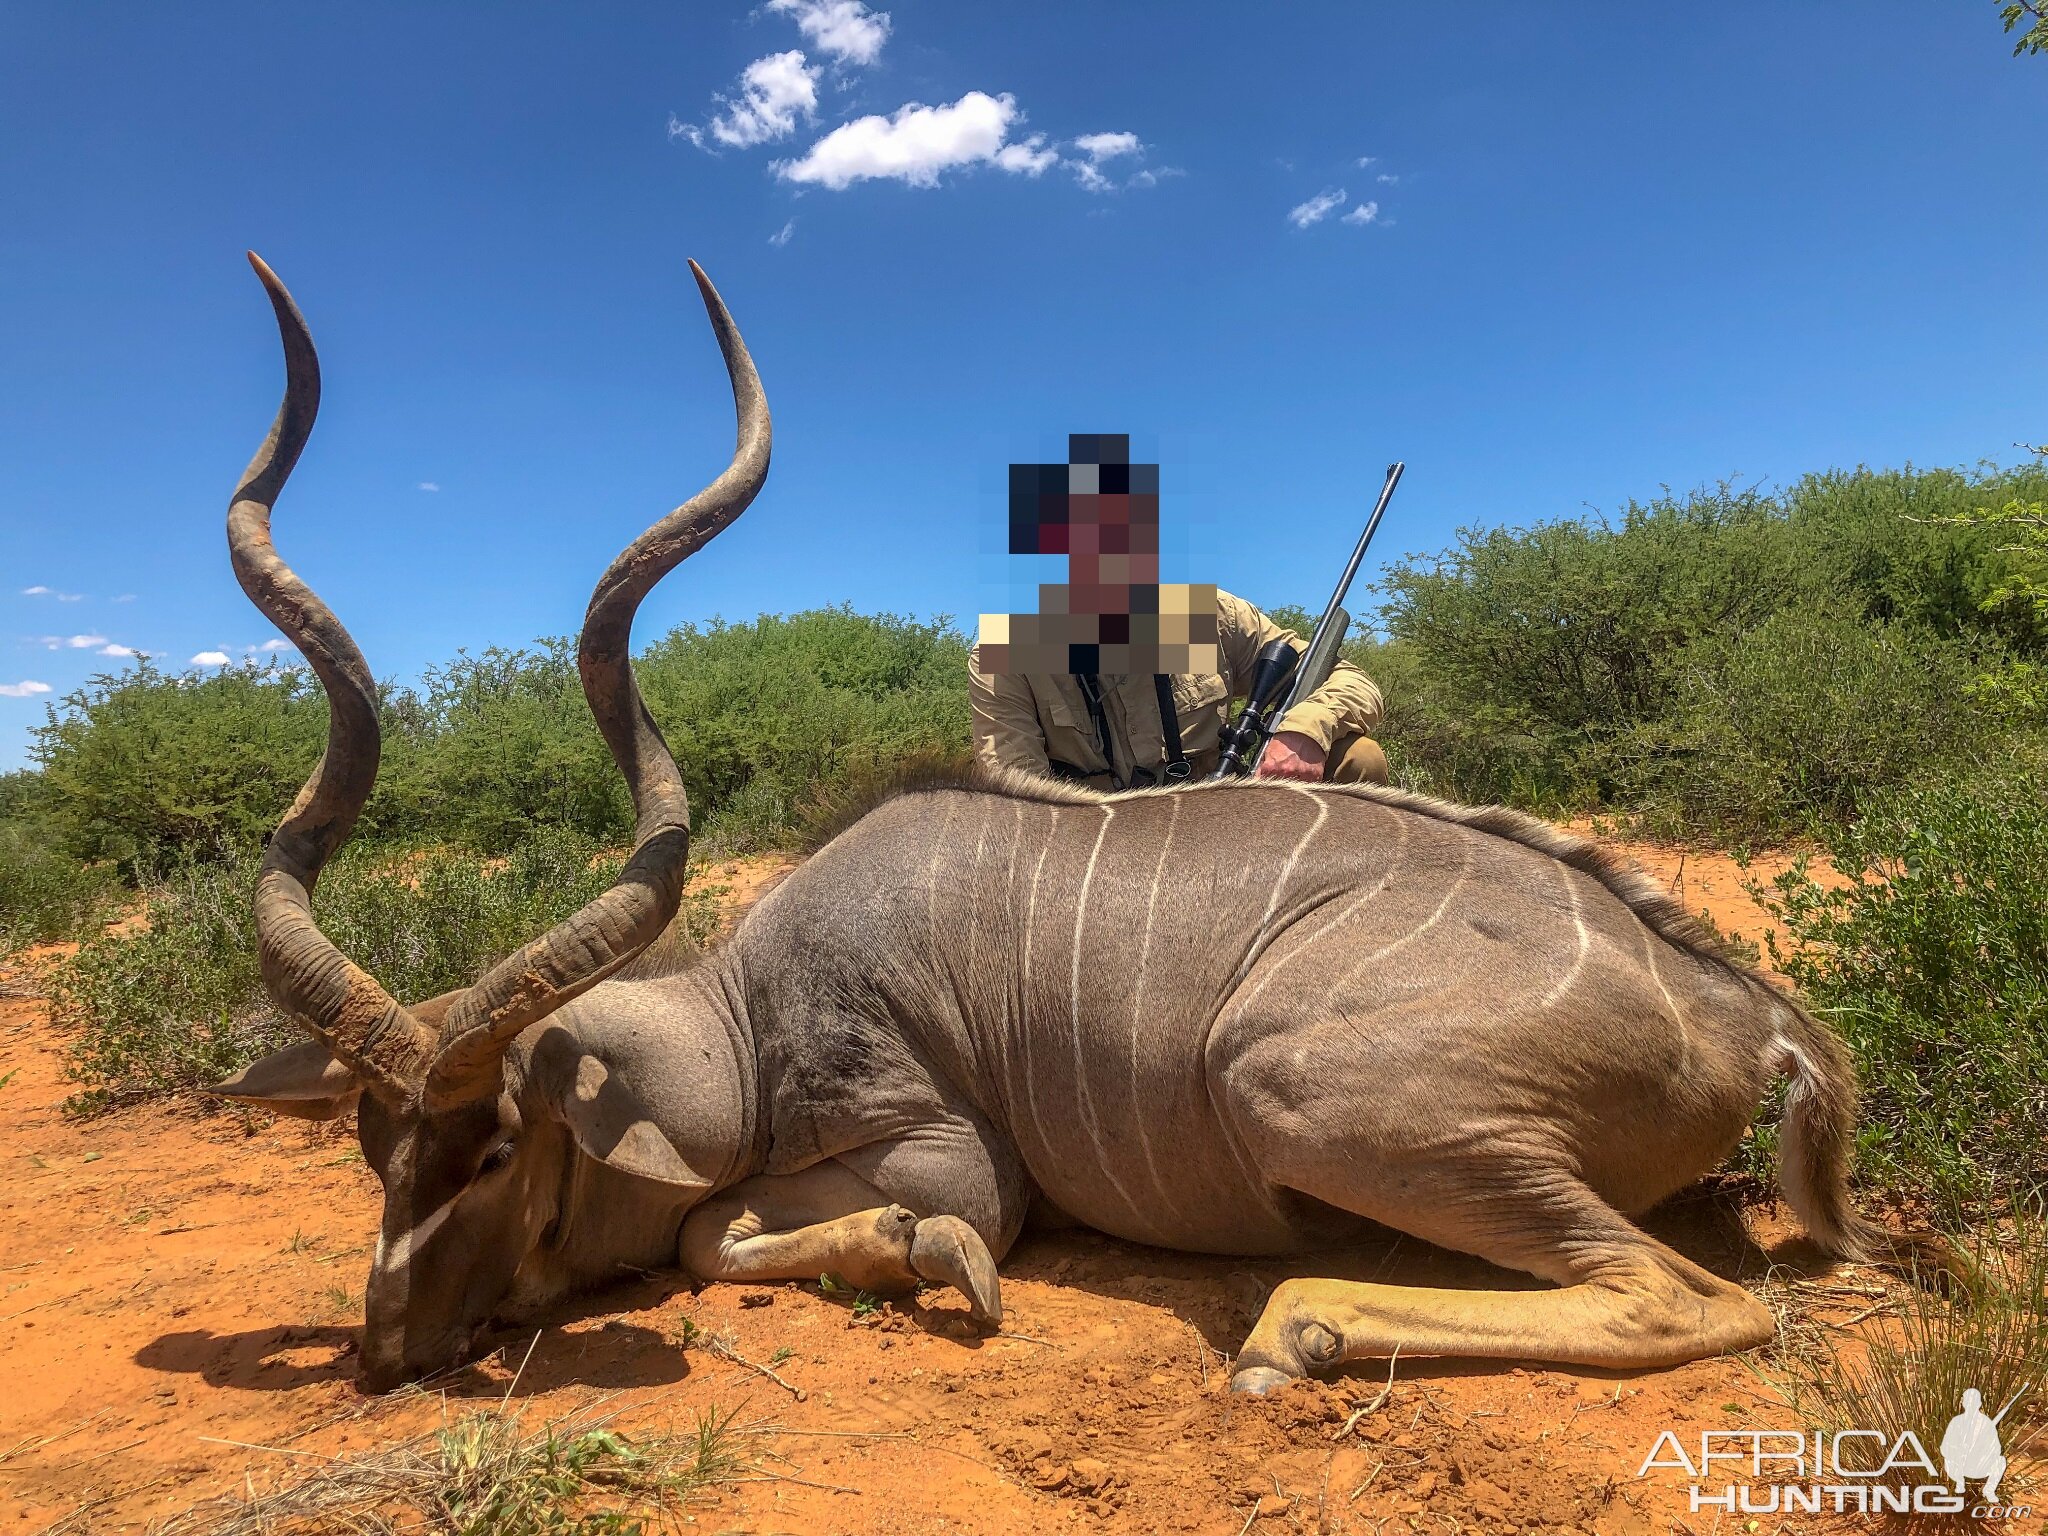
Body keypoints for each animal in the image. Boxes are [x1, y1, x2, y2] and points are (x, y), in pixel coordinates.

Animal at [216, 256, 1941, 1392]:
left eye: (501, 1144)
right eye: (373, 1148)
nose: (383, 1354)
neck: (745, 1020)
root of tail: (1752, 1016)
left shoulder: (947, 1156)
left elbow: (755, 1240)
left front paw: (941, 1275)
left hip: (1296, 1085)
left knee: (1689, 1299)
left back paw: (1294, 1330)